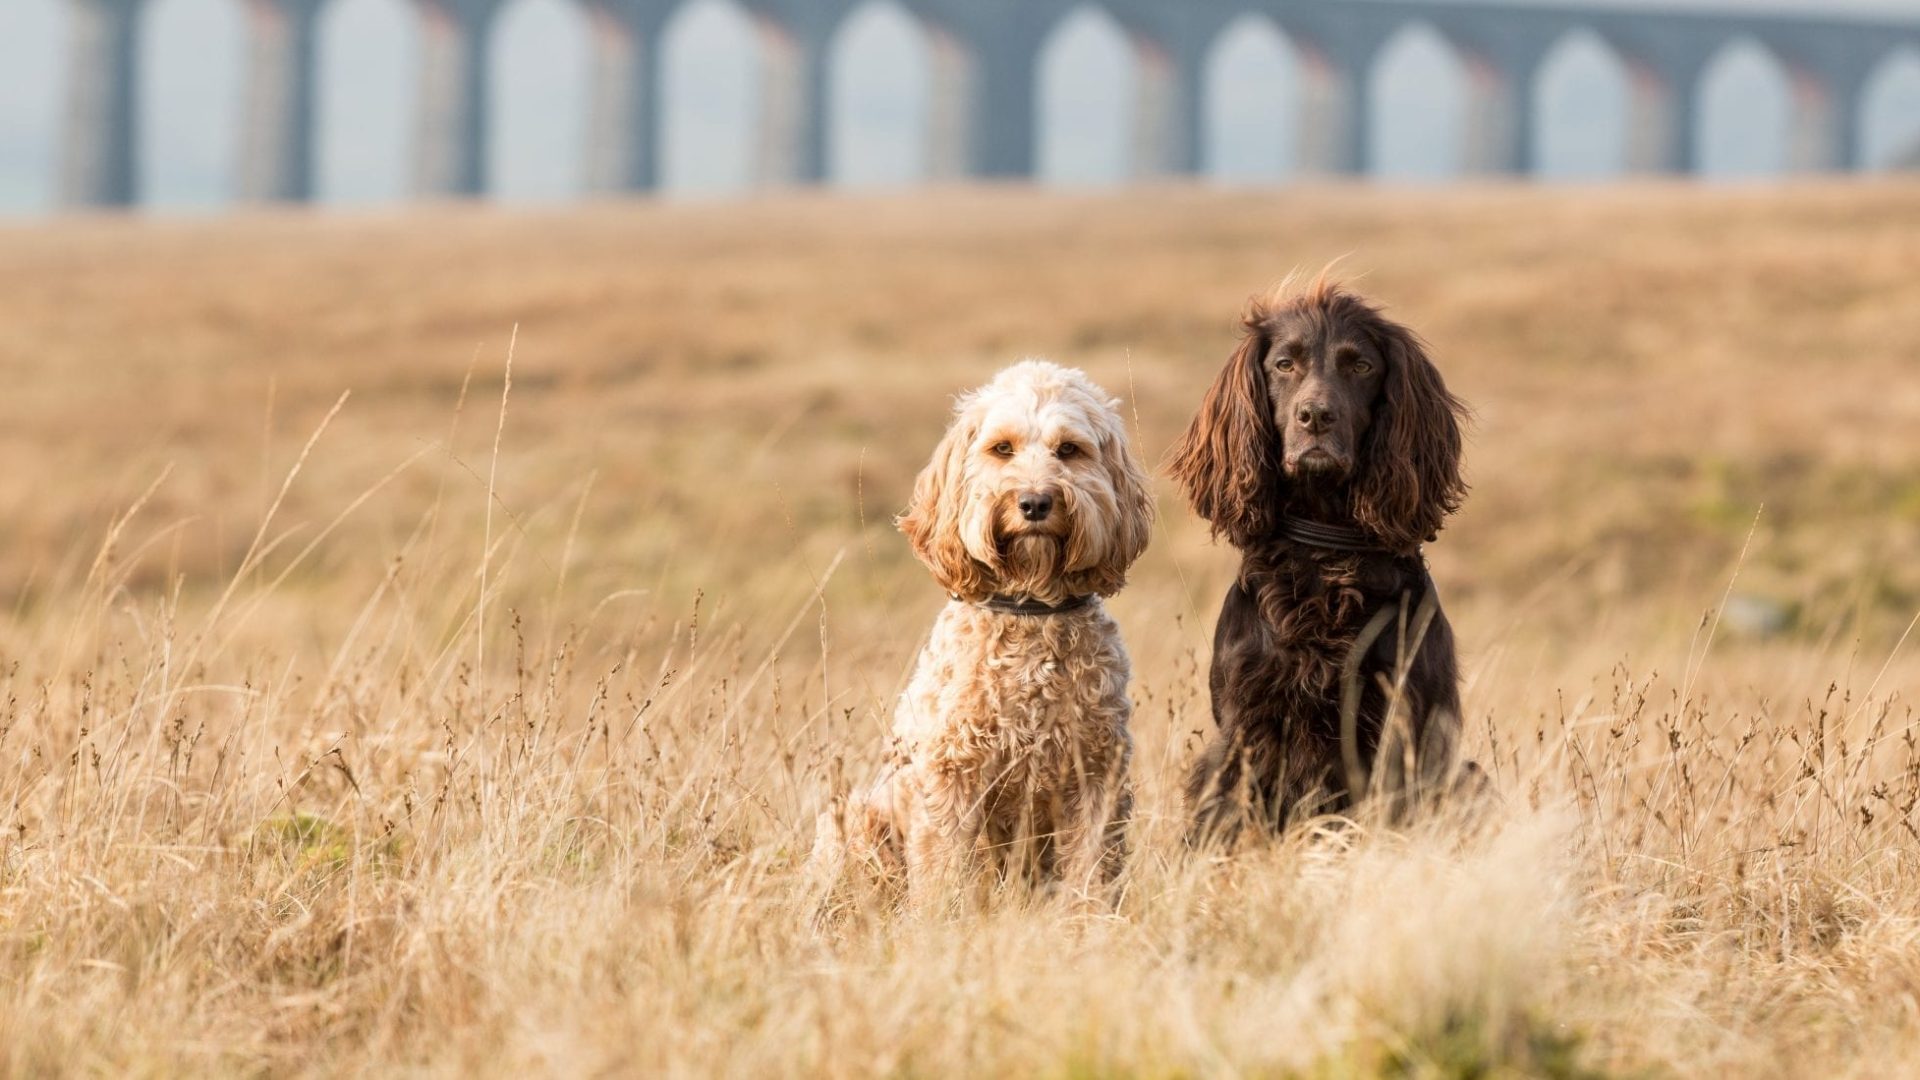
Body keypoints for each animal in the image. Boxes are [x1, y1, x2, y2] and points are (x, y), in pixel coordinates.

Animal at [814, 361, 1144, 899]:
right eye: (1001, 448)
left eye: (1069, 450)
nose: (1035, 502)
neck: (1030, 610)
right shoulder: (950, 781)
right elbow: (944, 873)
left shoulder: (1096, 778)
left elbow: (1090, 872)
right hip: (858, 820)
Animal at [1159, 276, 1474, 841]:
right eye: (1285, 364)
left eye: (1361, 366)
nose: (1316, 416)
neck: (1326, 553)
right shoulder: (1244, 733)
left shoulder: (1400, 731)